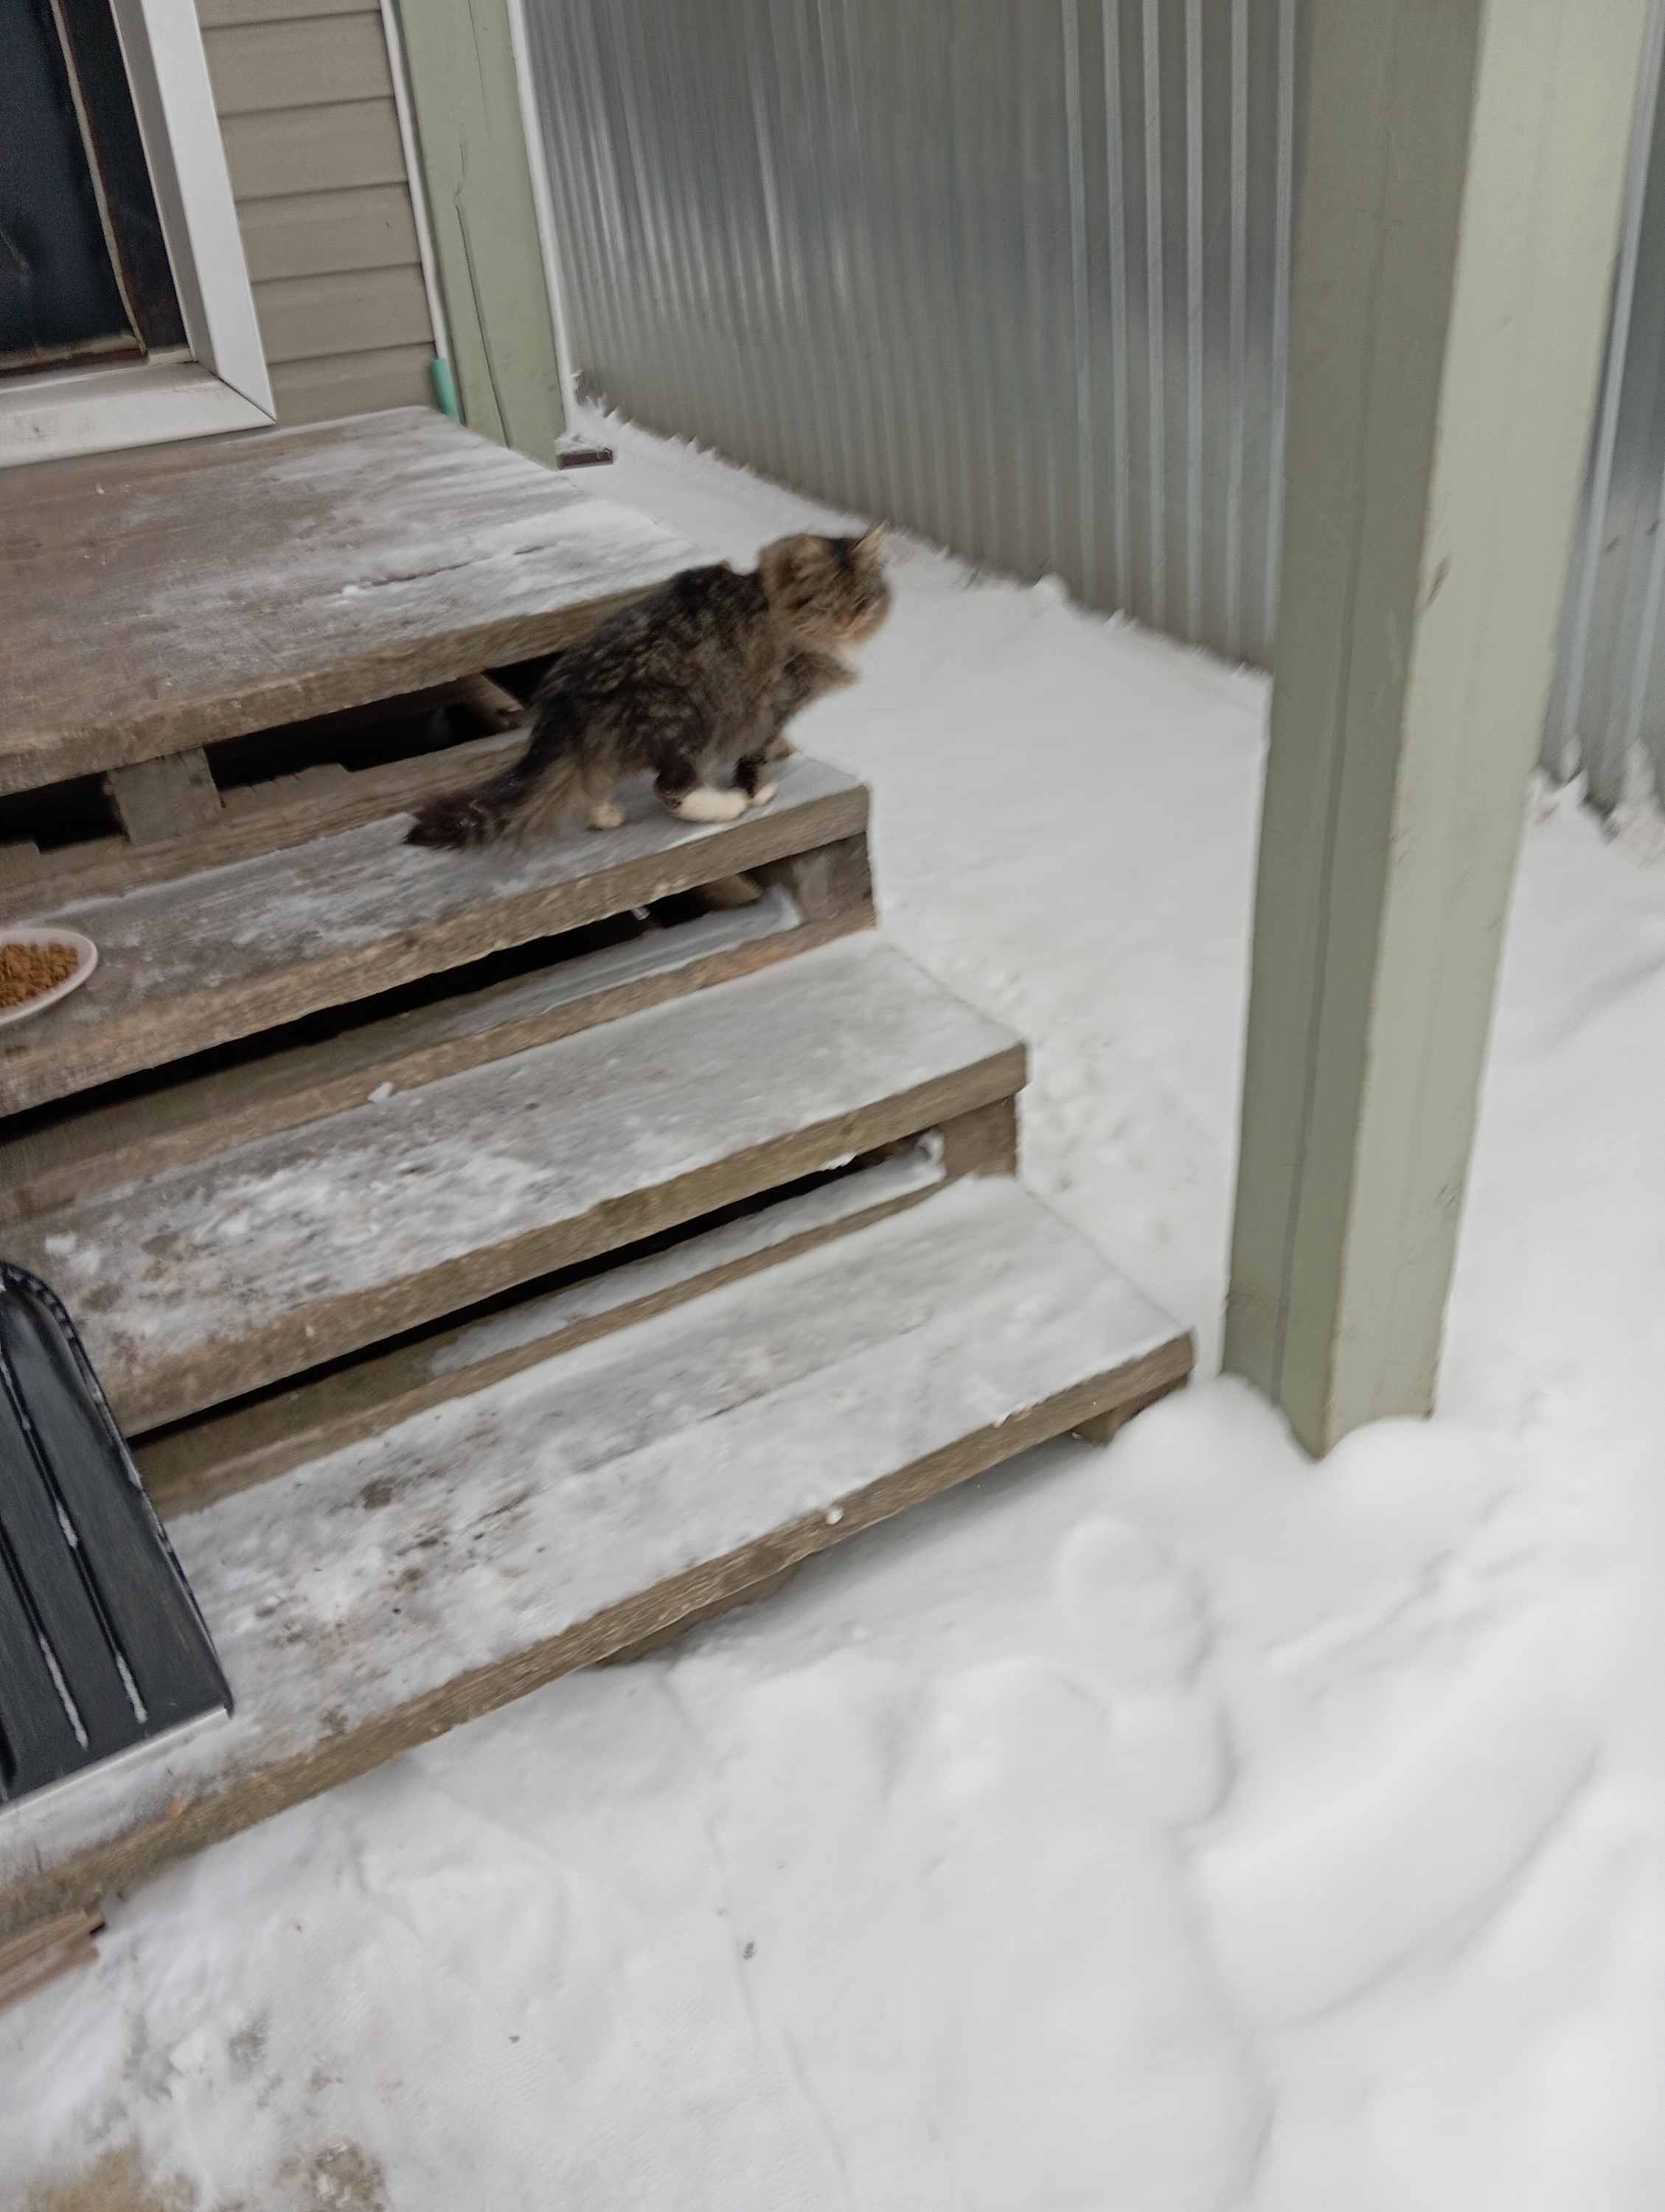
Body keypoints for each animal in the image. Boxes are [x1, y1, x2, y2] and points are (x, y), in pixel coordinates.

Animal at [405, 527, 889, 849]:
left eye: (862, 601)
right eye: (829, 604)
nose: (852, 620)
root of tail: (567, 697)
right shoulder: (774, 702)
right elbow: (755, 754)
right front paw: (760, 788)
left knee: (597, 780)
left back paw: (605, 815)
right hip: (688, 719)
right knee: (669, 790)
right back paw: (726, 805)